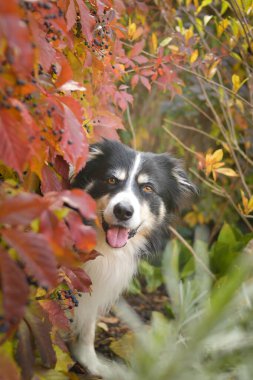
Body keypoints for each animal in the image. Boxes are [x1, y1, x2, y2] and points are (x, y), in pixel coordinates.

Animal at [69, 138, 198, 376]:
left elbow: (88, 325)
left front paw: (91, 363)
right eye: (111, 180)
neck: (104, 247)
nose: (123, 211)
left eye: (147, 188)